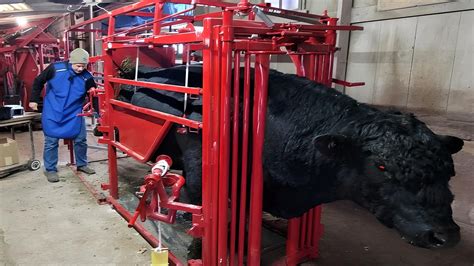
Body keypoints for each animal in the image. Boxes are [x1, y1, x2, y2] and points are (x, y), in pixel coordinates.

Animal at [124, 65, 464, 249]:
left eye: (449, 172)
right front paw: (189, 227)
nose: (445, 235)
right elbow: (195, 199)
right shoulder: (196, 154)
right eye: (381, 166)